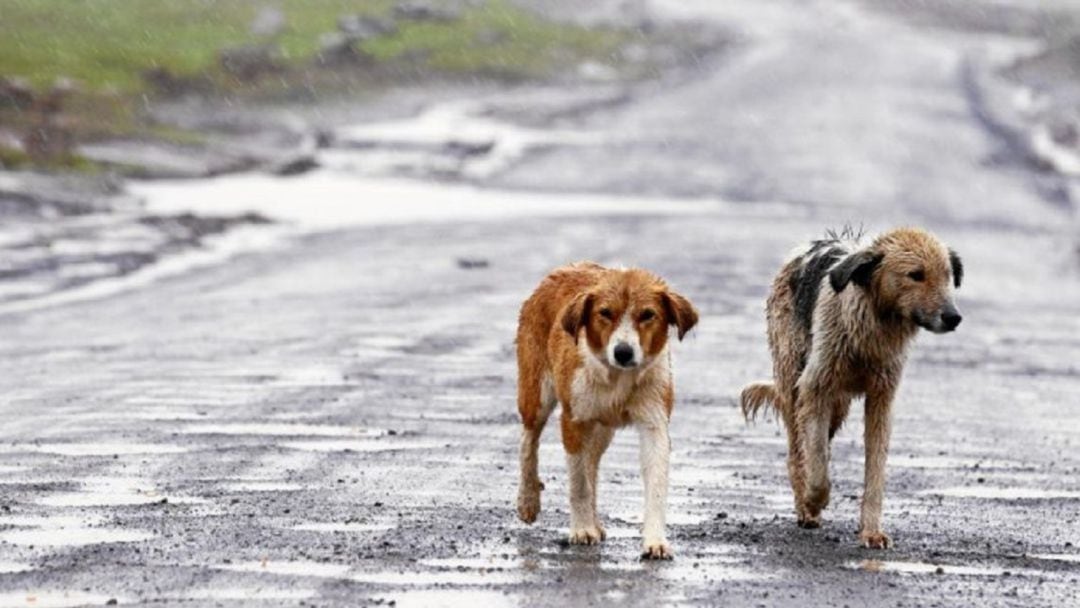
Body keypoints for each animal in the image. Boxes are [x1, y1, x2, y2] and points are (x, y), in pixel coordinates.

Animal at [514, 261, 699, 561]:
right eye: (605, 313)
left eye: (647, 315)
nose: (623, 352)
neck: (617, 379)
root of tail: (563, 269)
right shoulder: (573, 420)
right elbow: (578, 483)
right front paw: (581, 530)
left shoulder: (654, 423)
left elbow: (655, 485)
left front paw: (655, 541)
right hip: (536, 395)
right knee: (528, 443)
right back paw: (528, 500)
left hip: (602, 429)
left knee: (591, 464)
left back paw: (595, 522)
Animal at [743, 228, 963, 552]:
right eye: (916, 275)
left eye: (948, 276)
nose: (953, 317)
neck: (873, 328)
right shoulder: (814, 388)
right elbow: (817, 465)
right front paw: (814, 500)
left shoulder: (881, 400)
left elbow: (875, 472)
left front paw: (871, 531)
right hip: (795, 384)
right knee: (797, 452)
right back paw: (805, 508)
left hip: (839, 405)